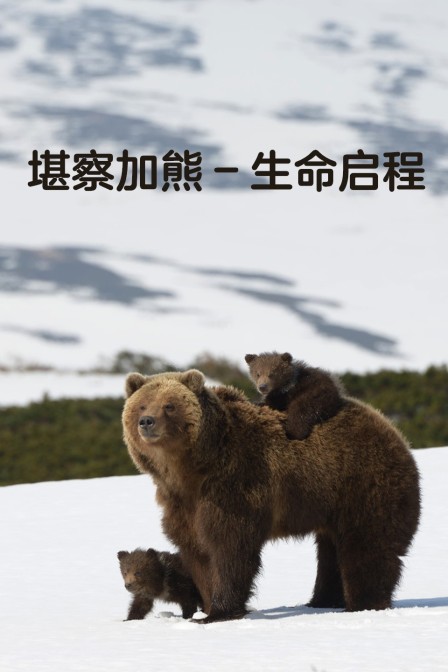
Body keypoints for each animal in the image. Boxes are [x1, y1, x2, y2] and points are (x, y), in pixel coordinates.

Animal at [122, 369, 420, 624]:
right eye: (141, 405)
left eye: (169, 405)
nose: (146, 422)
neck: (190, 470)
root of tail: (390, 428)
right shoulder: (182, 504)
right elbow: (198, 551)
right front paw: (204, 608)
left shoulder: (235, 485)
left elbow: (230, 547)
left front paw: (219, 611)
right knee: (331, 551)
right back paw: (323, 601)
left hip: (362, 483)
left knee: (367, 546)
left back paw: (363, 604)